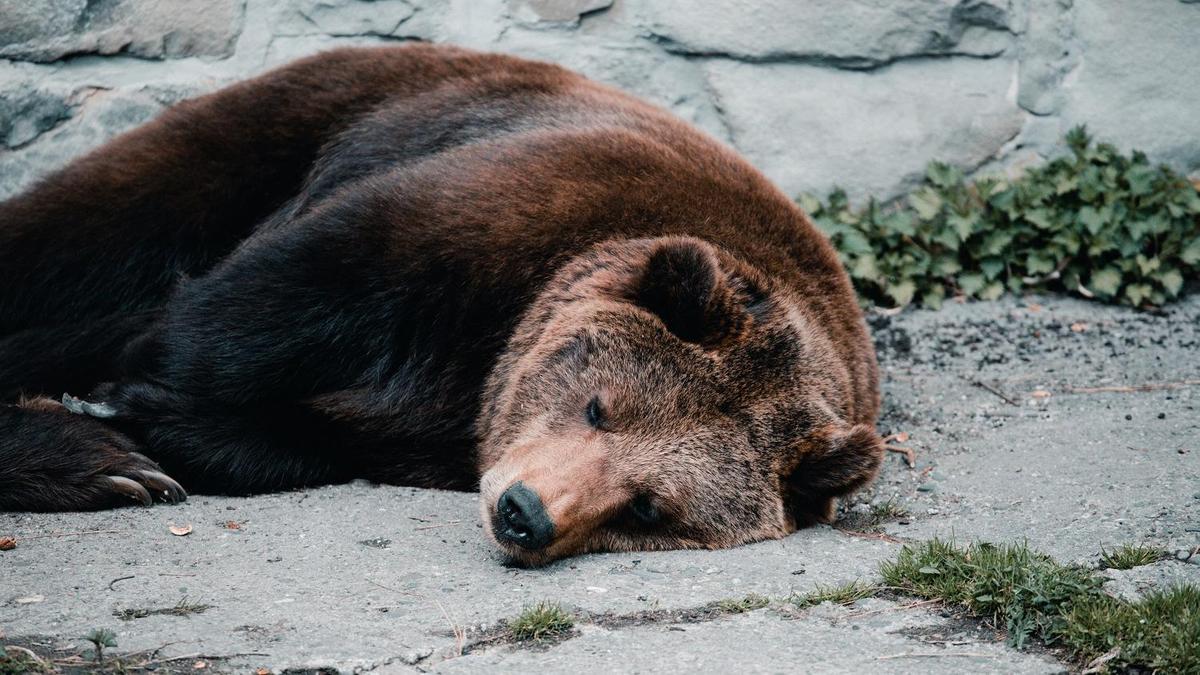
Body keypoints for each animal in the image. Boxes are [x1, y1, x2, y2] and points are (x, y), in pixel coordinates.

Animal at [0, 44, 883, 564]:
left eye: (649, 506)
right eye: (600, 406)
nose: (525, 511)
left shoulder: (437, 428)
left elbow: (294, 438)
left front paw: (145, 435)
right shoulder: (503, 212)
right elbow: (275, 299)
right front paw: (121, 408)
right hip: (294, 121)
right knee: (82, 240)